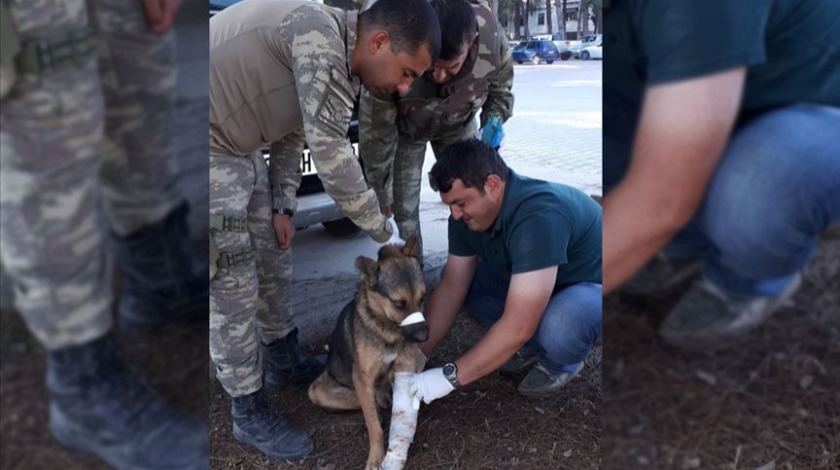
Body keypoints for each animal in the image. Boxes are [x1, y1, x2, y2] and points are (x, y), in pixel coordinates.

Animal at [306, 237, 426, 468]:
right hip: (321, 391)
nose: (424, 337)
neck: (387, 330)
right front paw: (376, 456)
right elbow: (373, 425)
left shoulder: (406, 366)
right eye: (399, 303)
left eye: (422, 298)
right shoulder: (362, 377)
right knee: (367, 405)